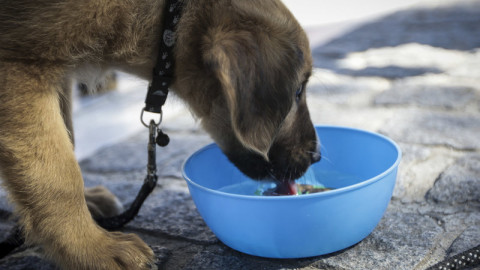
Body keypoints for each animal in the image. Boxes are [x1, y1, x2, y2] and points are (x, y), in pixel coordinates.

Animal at [1, 0, 320, 268]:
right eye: (297, 92)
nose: (317, 155)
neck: (171, 15)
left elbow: (66, 141)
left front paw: (85, 209)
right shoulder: (22, 68)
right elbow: (58, 174)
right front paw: (93, 249)